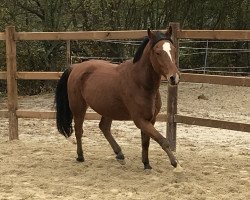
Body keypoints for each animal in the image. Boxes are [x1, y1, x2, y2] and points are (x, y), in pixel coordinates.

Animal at [54, 27, 181, 170]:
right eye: (158, 52)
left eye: (173, 50)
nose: (174, 77)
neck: (141, 83)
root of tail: (75, 67)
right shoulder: (140, 120)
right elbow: (162, 140)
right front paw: (175, 162)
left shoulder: (150, 119)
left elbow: (146, 142)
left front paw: (146, 164)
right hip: (78, 108)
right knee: (79, 130)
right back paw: (80, 156)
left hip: (108, 109)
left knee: (103, 127)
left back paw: (119, 153)